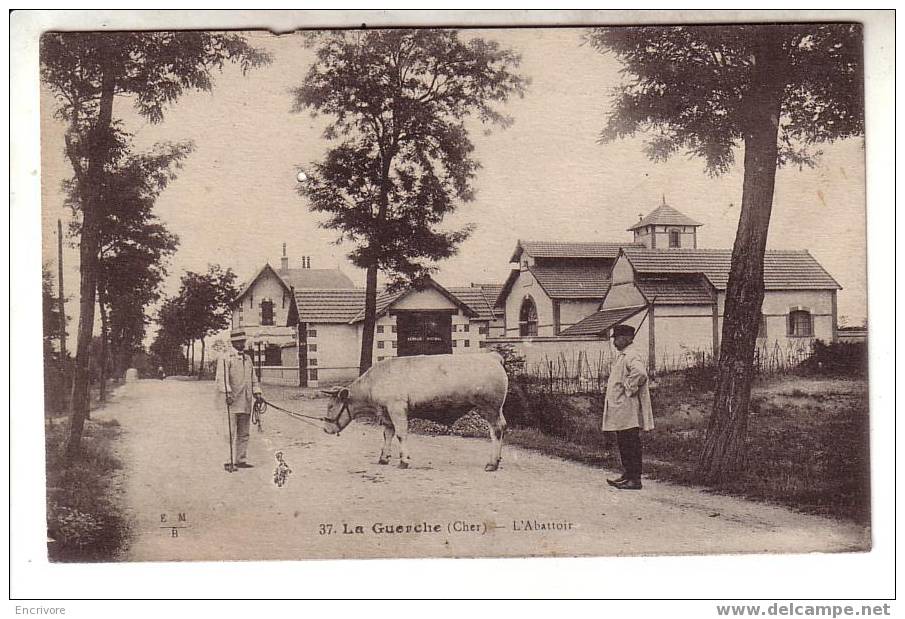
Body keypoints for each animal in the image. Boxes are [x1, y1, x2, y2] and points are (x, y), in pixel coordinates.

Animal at [324, 356, 508, 472]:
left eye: (330, 405)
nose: (326, 429)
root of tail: (491, 356)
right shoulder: (387, 413)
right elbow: (387, 434)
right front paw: (383, 458)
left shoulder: (397, 408)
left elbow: (401, 435)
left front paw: (403, 461)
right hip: (498, 409)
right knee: (503, 426)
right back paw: (497, 460)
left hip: (489, 407)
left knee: (496, 431)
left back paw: (492, 464)